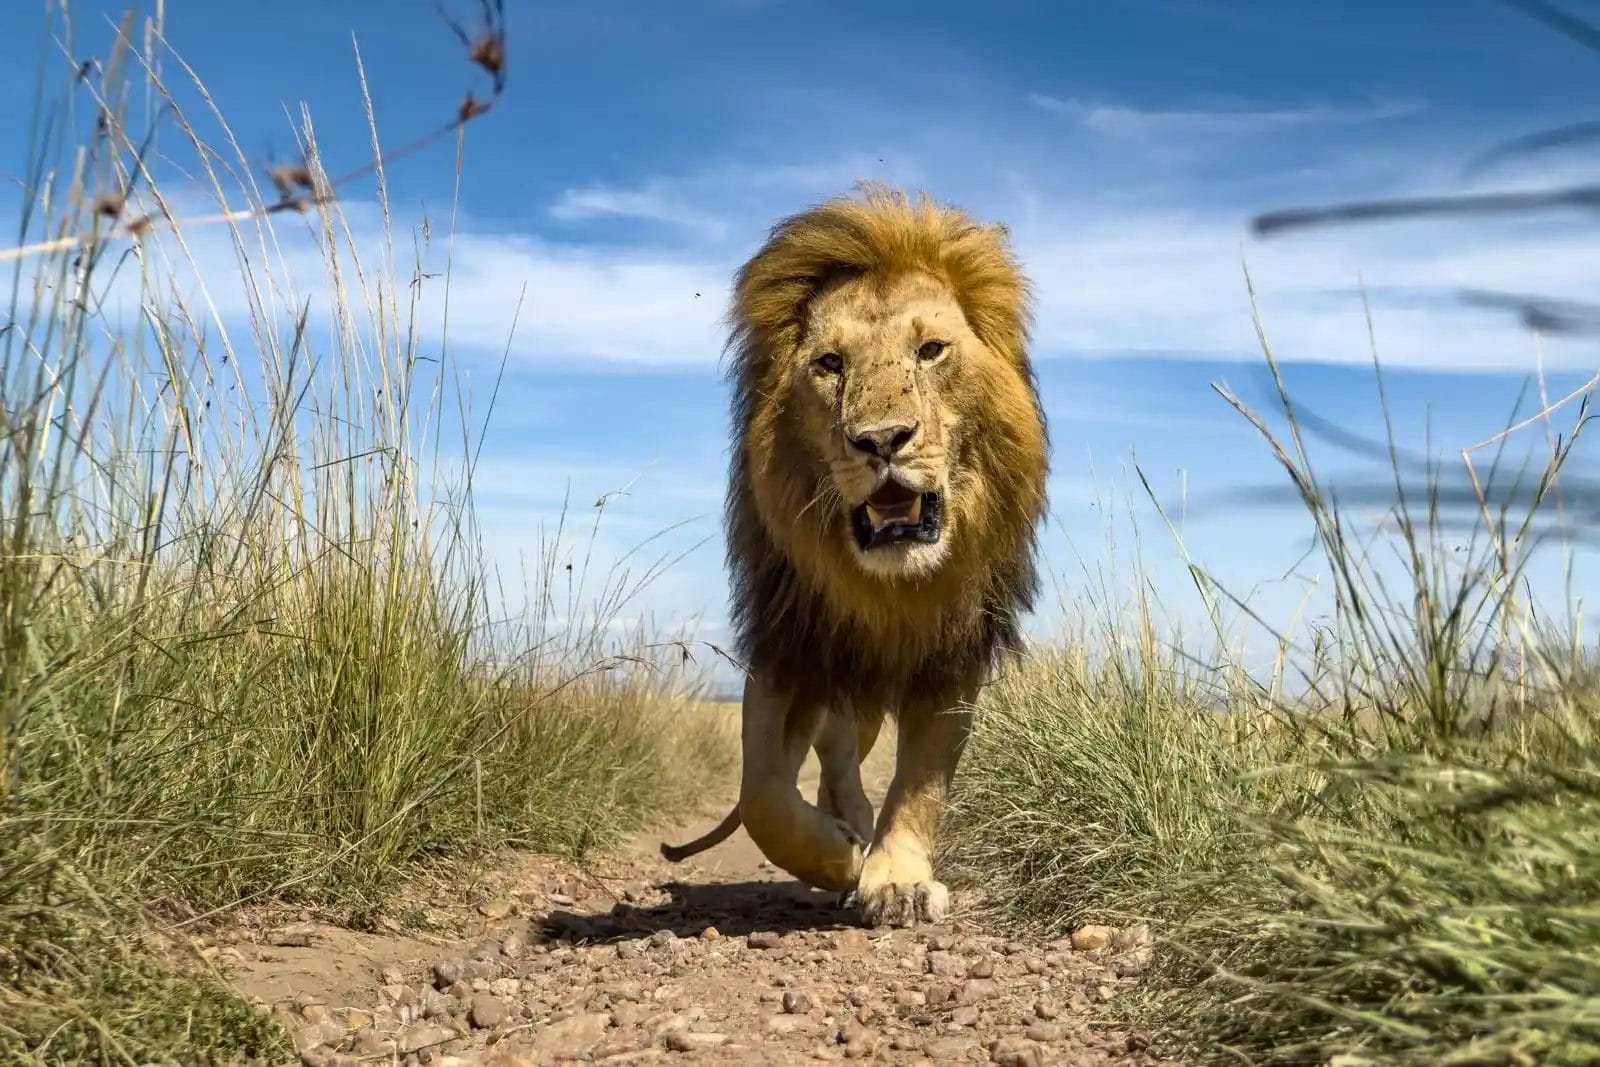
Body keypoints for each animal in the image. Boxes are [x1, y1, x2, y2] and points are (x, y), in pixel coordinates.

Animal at [661, 184, 1049, 927]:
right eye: (830, 364)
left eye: (931, 350)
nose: (882, 440)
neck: (889, 591)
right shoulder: (788, 645)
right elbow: (762, 792)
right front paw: (839, 857)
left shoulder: (952, 657)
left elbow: (923, 782)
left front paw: (895, 878)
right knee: (832, 756)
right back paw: (847, 836)